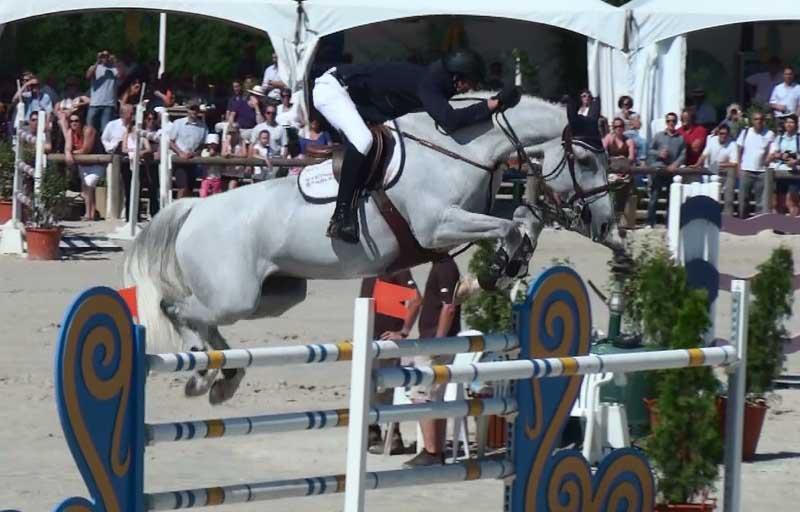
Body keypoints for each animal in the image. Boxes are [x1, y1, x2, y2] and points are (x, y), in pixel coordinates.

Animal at [123, 93, 620, 404]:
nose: (604, 222)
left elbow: (521, 221)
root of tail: (193, 208)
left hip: (275, 295)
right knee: (176, 308)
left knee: (206, 321)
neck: (458, 149)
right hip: (234, 295)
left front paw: (503, 269)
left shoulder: (460, 224)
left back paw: (223, 377)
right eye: (583, 159)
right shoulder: (438, 227)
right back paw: (202, 373)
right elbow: (508, 228)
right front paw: (495, 272)